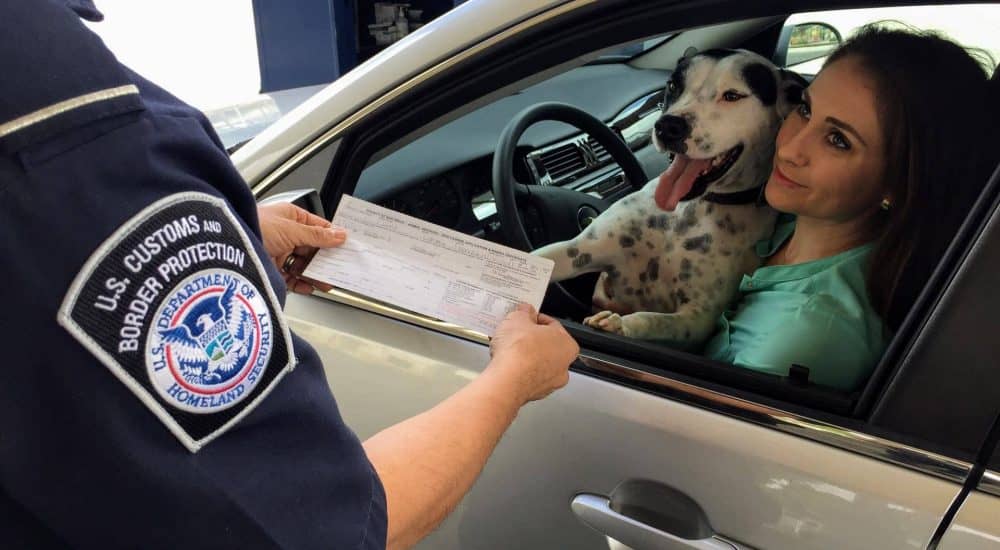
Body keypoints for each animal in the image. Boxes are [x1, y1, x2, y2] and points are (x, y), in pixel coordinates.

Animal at [535, 49, 805, 346]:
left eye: (732, 95)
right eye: (674, 86)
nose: (668, 126)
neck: (690, 211)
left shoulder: (698, 318)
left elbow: (653, 320)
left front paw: (619, 323)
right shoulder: (578, 250)